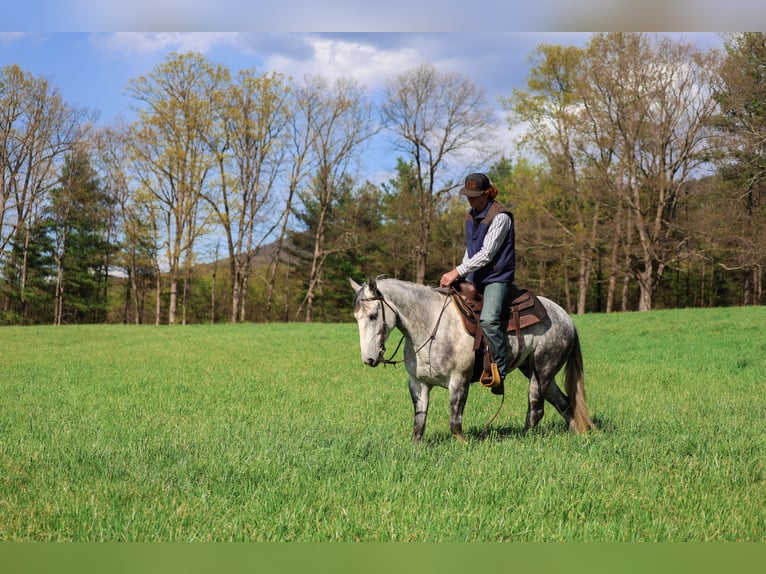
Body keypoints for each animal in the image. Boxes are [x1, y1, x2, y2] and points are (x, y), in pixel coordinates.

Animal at [350, 276, 593, 442]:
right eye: (356, 317)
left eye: (373, 315)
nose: (368, 359)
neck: (431, 326)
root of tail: (565, 317)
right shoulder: (418, 384)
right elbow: (419, 422)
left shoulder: (459, 381)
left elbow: (455, 421)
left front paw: (463, 445)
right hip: (535, 371)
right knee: (564, 403)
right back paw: (579, 433)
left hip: (541, 372)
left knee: (536, 410)